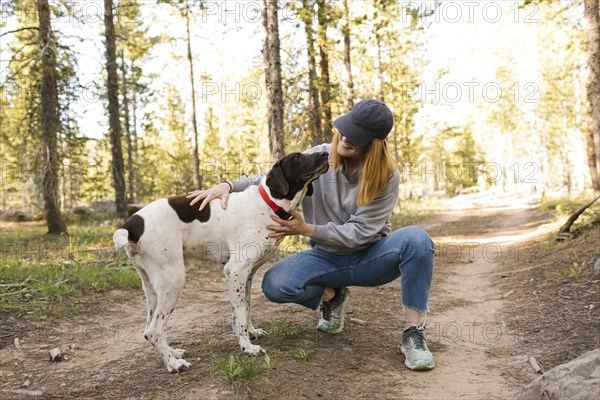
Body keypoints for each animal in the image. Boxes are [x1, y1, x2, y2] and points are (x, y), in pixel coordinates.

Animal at [112, 151, 328, 372]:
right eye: (297, 157)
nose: (325, 153)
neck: (269, 204)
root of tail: (132, 222)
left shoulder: (247, 275)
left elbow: (245, 310)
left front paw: (251, 333)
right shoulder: (235, 271)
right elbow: (240, 316)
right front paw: (247, 348)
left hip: (152, 287)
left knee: (148, 330)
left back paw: (173, 353)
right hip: (173, 280)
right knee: (154, 331)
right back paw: (173, 364)